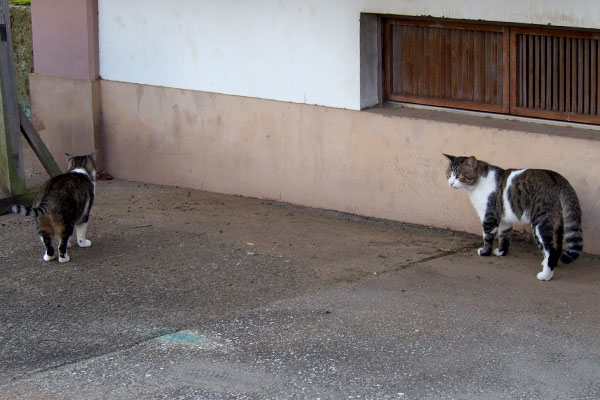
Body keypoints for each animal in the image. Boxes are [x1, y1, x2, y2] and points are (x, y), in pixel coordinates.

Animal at [446, 154, 580, 282]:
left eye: (458, 176)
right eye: (448, 175)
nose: (451, 183)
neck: (479, 181)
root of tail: (557, 178)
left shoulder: (489, 216)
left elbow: (487, 237)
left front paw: (485, 252)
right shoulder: (505, 220)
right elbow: (505, 237)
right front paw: (501, 252)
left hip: (540, 223)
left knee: (551, 250)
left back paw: (545, 275)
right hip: (557, 223)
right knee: (557, 247)